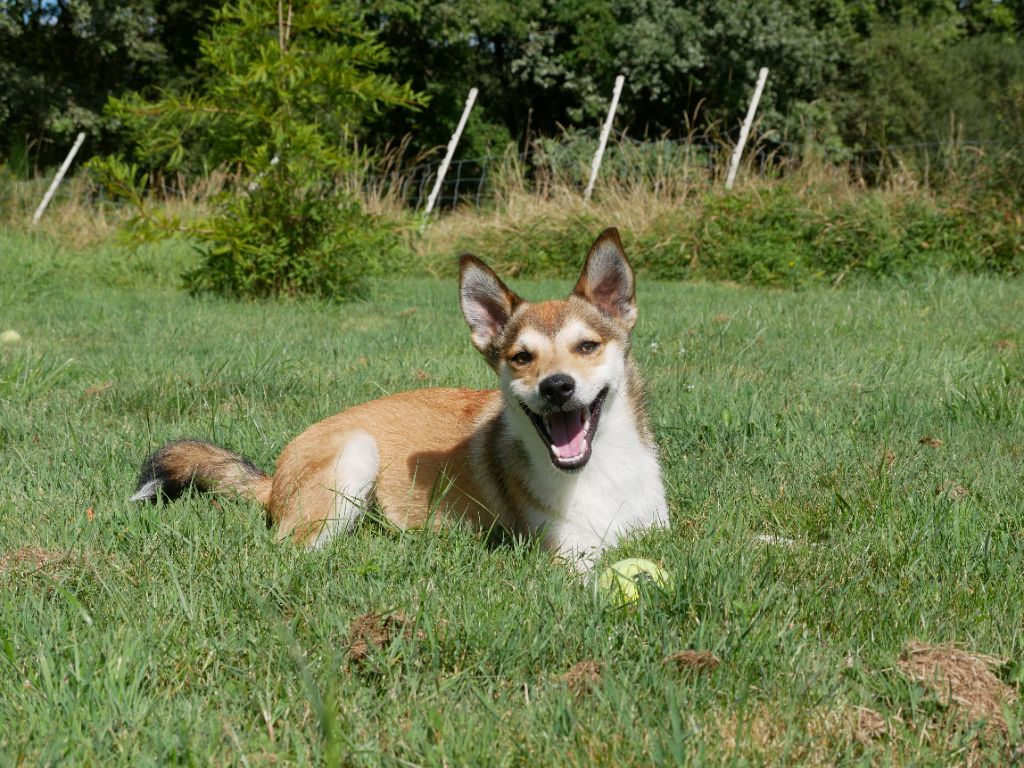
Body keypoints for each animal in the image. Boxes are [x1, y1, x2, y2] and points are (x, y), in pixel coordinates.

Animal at [130, 228, 671, 573]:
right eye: (521, 357)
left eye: (587, 346)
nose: (556, 387)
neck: (598, 472)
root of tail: (275, 478)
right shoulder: (567, 555)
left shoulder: (656, 528)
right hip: (355, 454)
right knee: (293, 550)